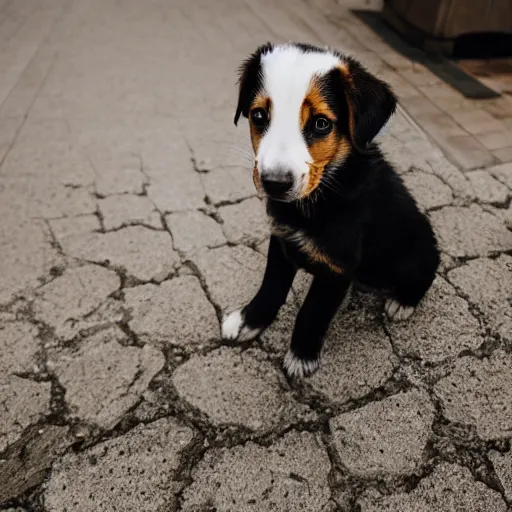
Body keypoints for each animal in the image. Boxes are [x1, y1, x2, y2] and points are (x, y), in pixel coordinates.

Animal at [220, 44, 440, 378]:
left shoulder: (337, 267)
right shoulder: (282, 240)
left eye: (321, 123)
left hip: (416, 250)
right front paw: (247, 321)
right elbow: (270, 288)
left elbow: (312, 312)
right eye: (259, 116)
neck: (317, 200)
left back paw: (402, 303)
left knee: (426, 271)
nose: (275, 183)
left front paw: (300, 358)